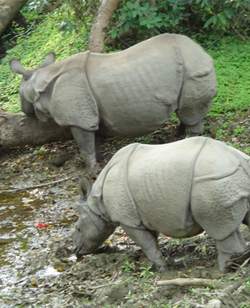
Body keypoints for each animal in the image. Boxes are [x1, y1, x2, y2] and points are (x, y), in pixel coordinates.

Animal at [9, 33, 217, 171]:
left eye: (19, 94)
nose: (24, 111)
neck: (38, 81)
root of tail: (202, 52)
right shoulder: (88, 113)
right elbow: (93, 140)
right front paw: (98, 160)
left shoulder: (78, 119)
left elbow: (84, 145)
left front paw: (90, 170)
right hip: (189, 68)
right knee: (185, 112)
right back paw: (177, 136)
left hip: (193, 70)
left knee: (191, 114)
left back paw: (188, 143)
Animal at [73, 137, 250, 272]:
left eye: (78, 228)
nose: (76, 251)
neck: (96, 204)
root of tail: (238, 158)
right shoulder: (145, 214)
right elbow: (152, 240)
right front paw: (160, 265)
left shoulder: (127, 219)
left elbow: (146, 243)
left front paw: (161, 269)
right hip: (226, 177)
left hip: (213, 180)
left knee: (220, 228)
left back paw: (222, 271)